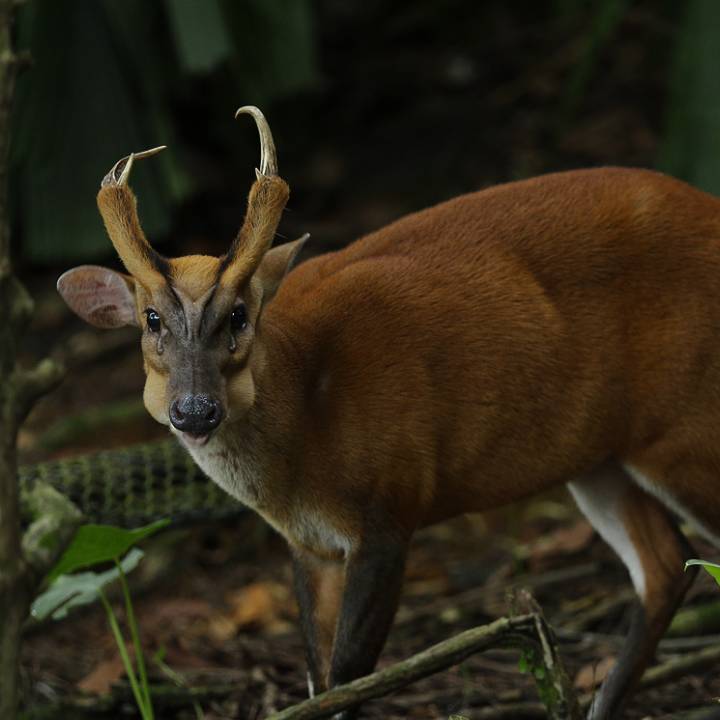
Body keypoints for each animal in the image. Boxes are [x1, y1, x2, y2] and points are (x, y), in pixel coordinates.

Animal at [55, 105, 720, 719]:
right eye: (151, 319)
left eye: (240, 314)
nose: (194, 411)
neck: (308, 420)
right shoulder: (310, 544)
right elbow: (318, 671)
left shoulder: (391, 508)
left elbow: (351, 672)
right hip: (600, 457)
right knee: (667, 567)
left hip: (685, 427)